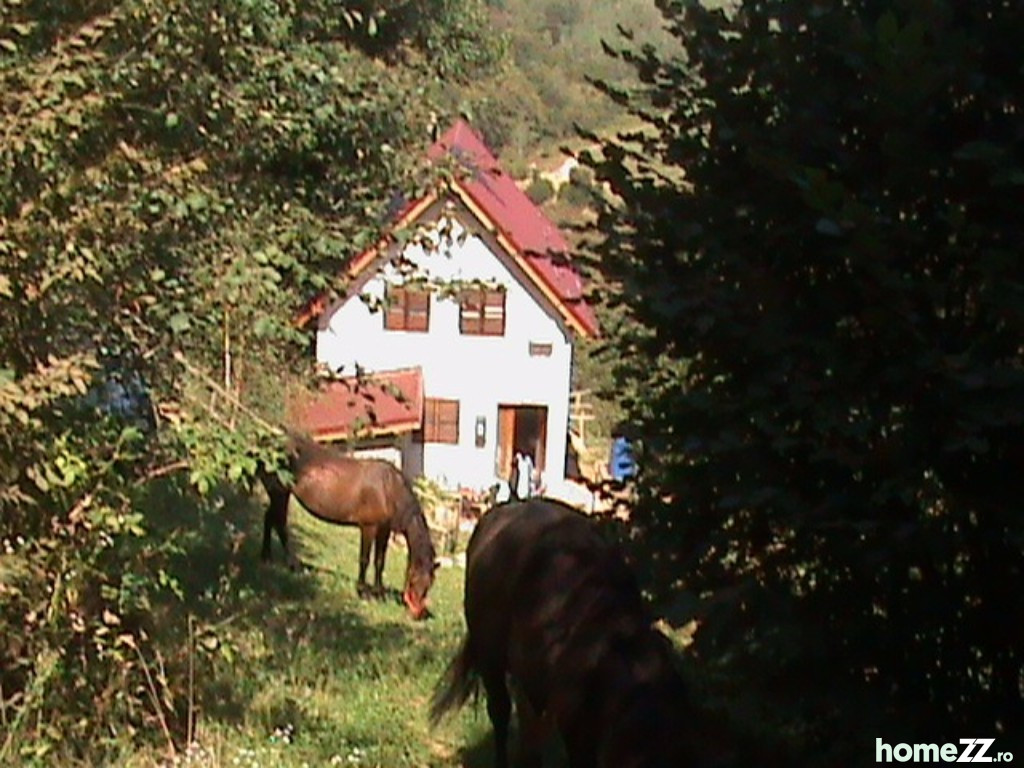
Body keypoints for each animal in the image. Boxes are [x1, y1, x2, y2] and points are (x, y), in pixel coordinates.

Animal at [260, 436, 436, 622]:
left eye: (429, 584)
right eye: (413, 579)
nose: (417, 614)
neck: (388, 489)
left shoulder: (384, 530)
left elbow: (379, 561)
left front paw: (378, 593)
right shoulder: (368, 527)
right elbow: (365, 559)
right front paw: (362, 591)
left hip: (279, 494)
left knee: (270, 519)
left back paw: (267, 557)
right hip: (279, 493)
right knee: (280, 524)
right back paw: (293, 565)